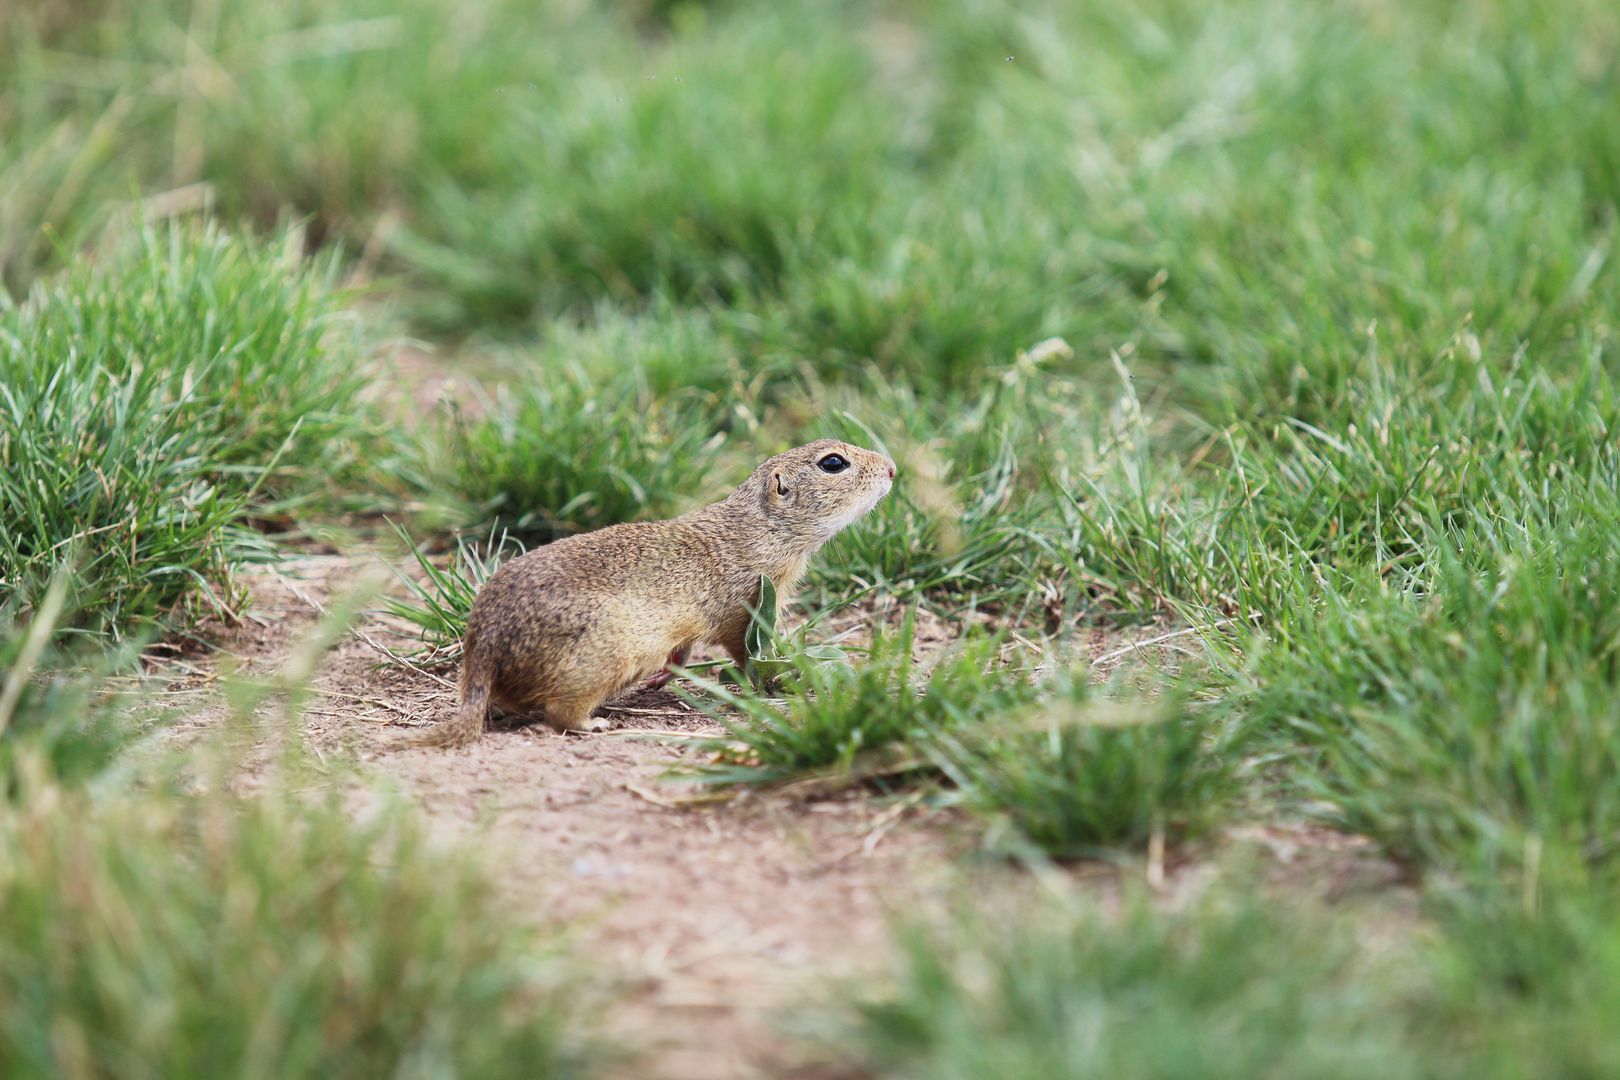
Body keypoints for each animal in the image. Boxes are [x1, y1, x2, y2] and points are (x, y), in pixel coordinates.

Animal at [417, 437, 894, 744]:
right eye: (833, 463)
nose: (891, 468)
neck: (754, 529)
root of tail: (482, 648)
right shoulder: (743, 607)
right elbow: (744, 651)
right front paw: (769, 683)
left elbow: (682, 651)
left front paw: (666, 676)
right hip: (602, 658)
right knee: (559, 712)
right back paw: (594, 725)